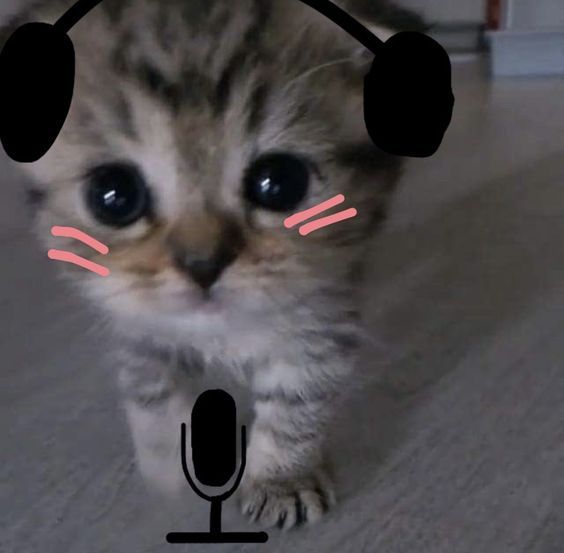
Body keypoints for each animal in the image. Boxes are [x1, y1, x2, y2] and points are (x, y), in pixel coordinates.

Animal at [1, 0, 424, 528]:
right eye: (113, 195)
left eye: (279, 182)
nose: (202, 264)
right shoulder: (135, 321)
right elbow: (153, 395)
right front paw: (170, 467)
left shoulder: (322, 308)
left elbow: (297, 396)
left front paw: (282, 478)